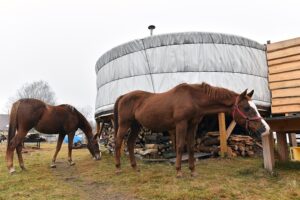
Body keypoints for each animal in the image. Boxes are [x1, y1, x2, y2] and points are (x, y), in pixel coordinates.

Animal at [112, 82, 270, 177]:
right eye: (247, 108)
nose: (265, 128)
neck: (193, 99)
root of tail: (123, 96)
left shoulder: (192, 125)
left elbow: (191, 147)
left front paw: (193, 171)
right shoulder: (181, 124)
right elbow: (180, 146)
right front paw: (179, 171)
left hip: (136, 125)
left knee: (130, 143)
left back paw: (135, 168)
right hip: (125, 124)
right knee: (118, 142)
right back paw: (118, 168)